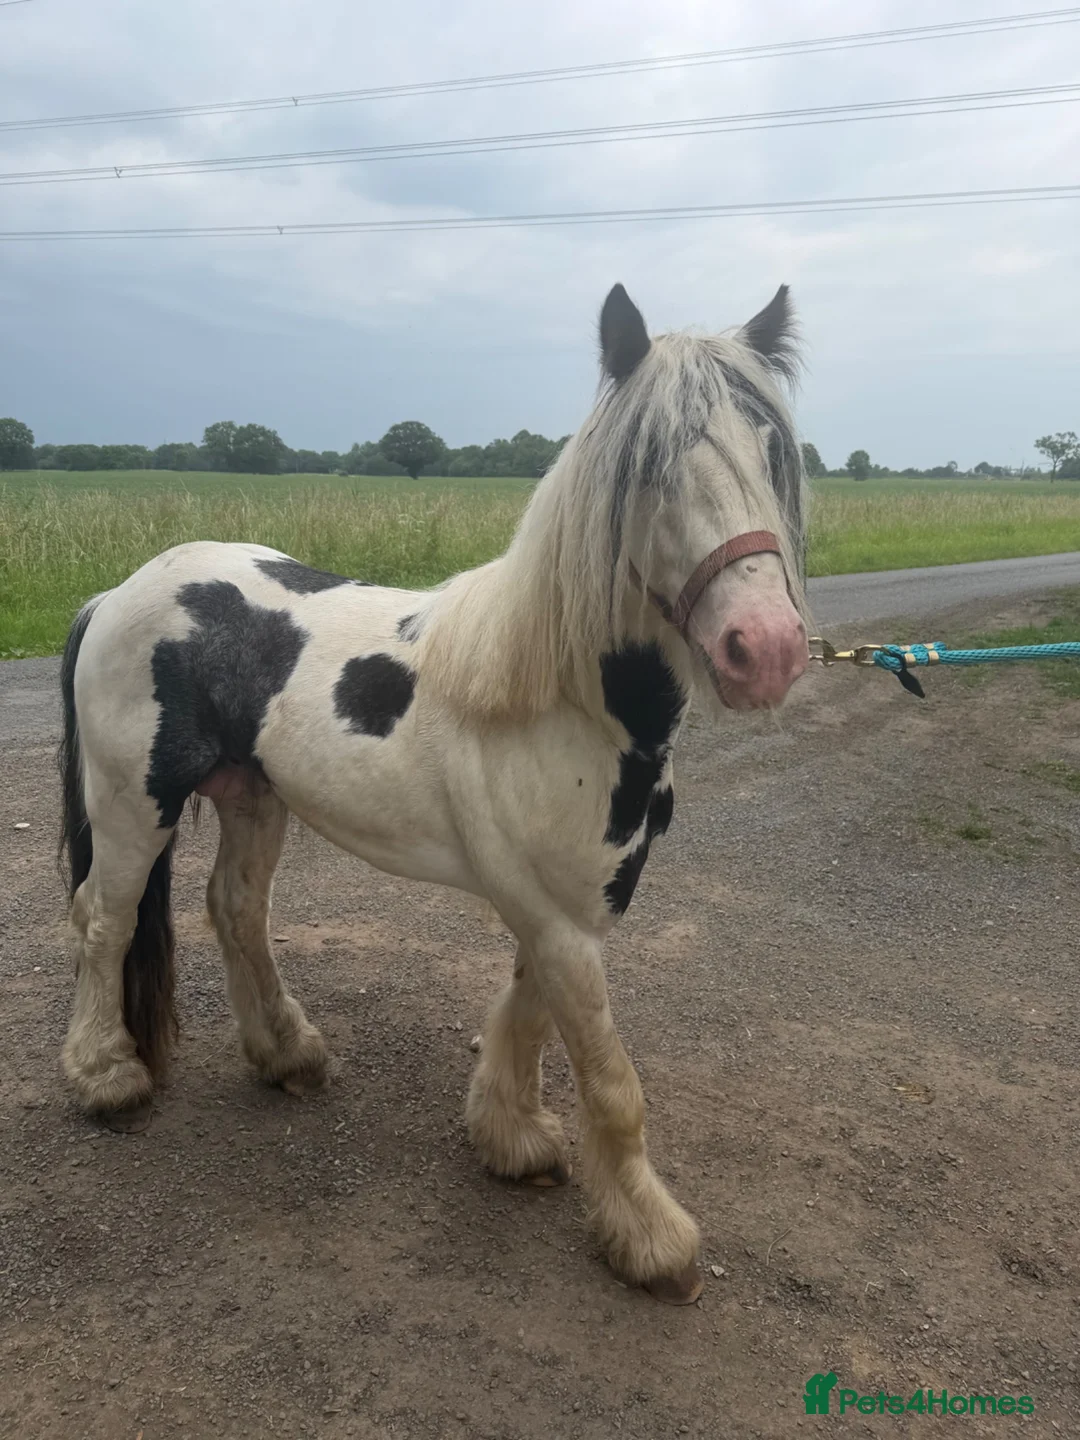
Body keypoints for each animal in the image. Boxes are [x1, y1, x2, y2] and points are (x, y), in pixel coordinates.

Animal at [57, 283, 809, 1304]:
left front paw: (510, 1138)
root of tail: (118, 592)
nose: (764, 648)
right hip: (134, 801)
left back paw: (287, 1053)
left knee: (235, 908)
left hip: (253, 795)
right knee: (105, 919)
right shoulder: (558, 917)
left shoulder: (562, 908)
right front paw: (651, 1240)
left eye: (774, 448)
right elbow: (610, 1078)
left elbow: (528, 1015)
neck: (561, 700)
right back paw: (106, 1076)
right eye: (649, 465)